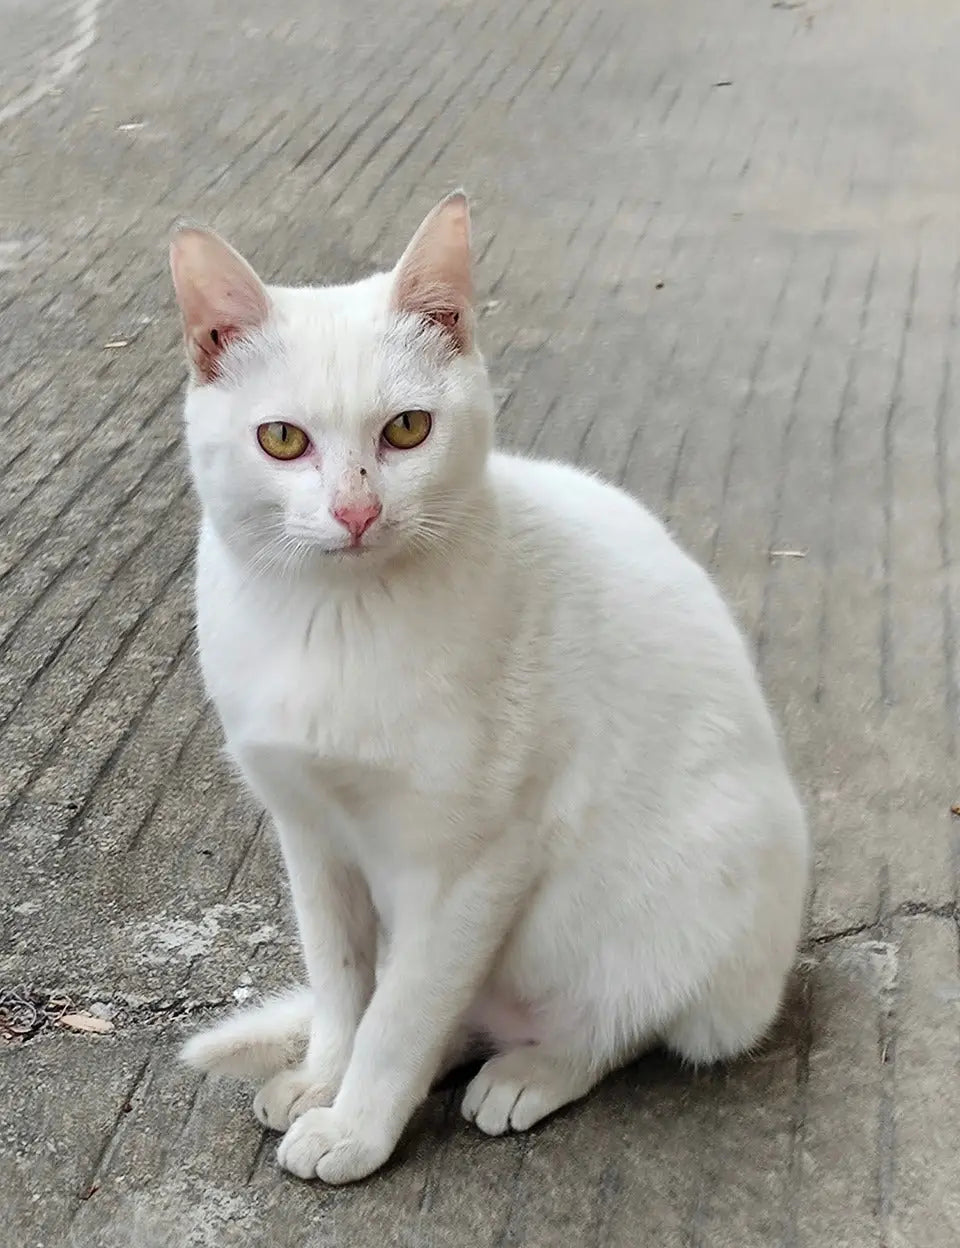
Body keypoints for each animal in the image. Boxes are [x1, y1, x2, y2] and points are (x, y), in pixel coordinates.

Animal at [169, 189, 808, 1183]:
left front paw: (358, 1126)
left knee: (620, 1023)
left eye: (406, 429)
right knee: (448, 1013)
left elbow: (400, 1016)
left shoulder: (473, 863)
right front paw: (327, 1077)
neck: (335, 619)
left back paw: (532, 1070)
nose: (357, 511)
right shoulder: (310, 835)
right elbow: (345, 983)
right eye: (282, 440)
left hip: (688, 897)